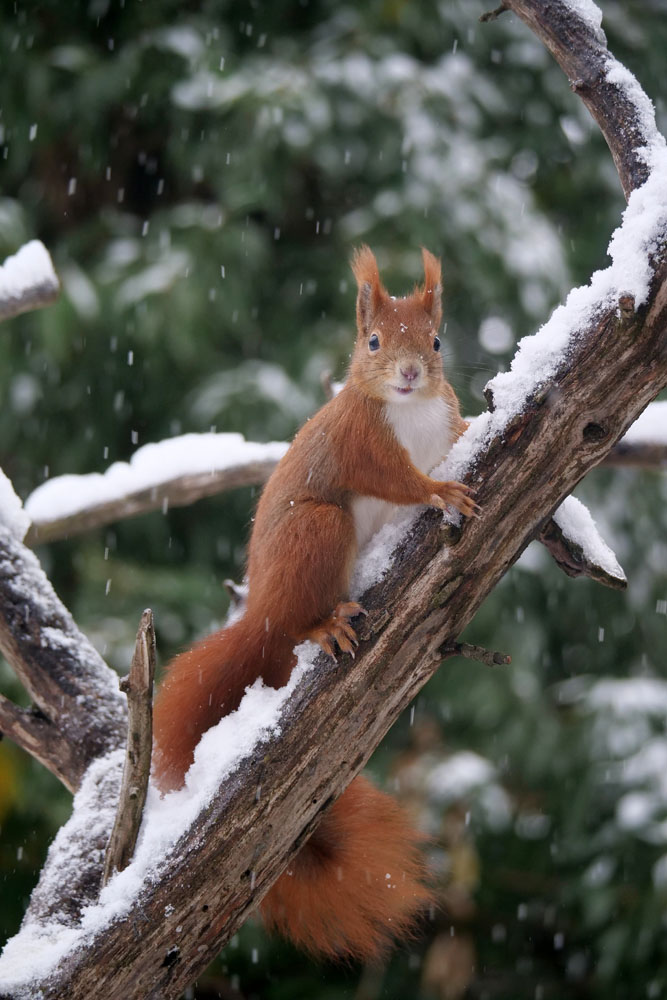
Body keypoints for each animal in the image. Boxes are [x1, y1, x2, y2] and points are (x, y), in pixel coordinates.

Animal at [153, 244, 474, 960]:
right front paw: (441, 490)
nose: (411, 373)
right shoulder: (360, 440)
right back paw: (324, 626)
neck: (410, 412)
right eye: (373, 341)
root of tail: (261, 615)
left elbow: (459, 427)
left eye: (437, 341)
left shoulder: (442, 418)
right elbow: (399, 479)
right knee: (302, 616)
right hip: (319, 532)